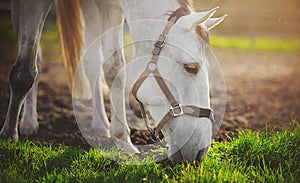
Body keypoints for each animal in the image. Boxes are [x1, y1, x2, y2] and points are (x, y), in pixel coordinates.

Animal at [0, 0, 225, 163]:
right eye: (191, 67)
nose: (201, 151)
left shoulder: (111, 6)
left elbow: (113, 68)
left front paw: (122, 139)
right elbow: (24, 72)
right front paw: (9, 136)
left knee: (92, 62)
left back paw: (100, 124)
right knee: (36, 57)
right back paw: (28, 122)